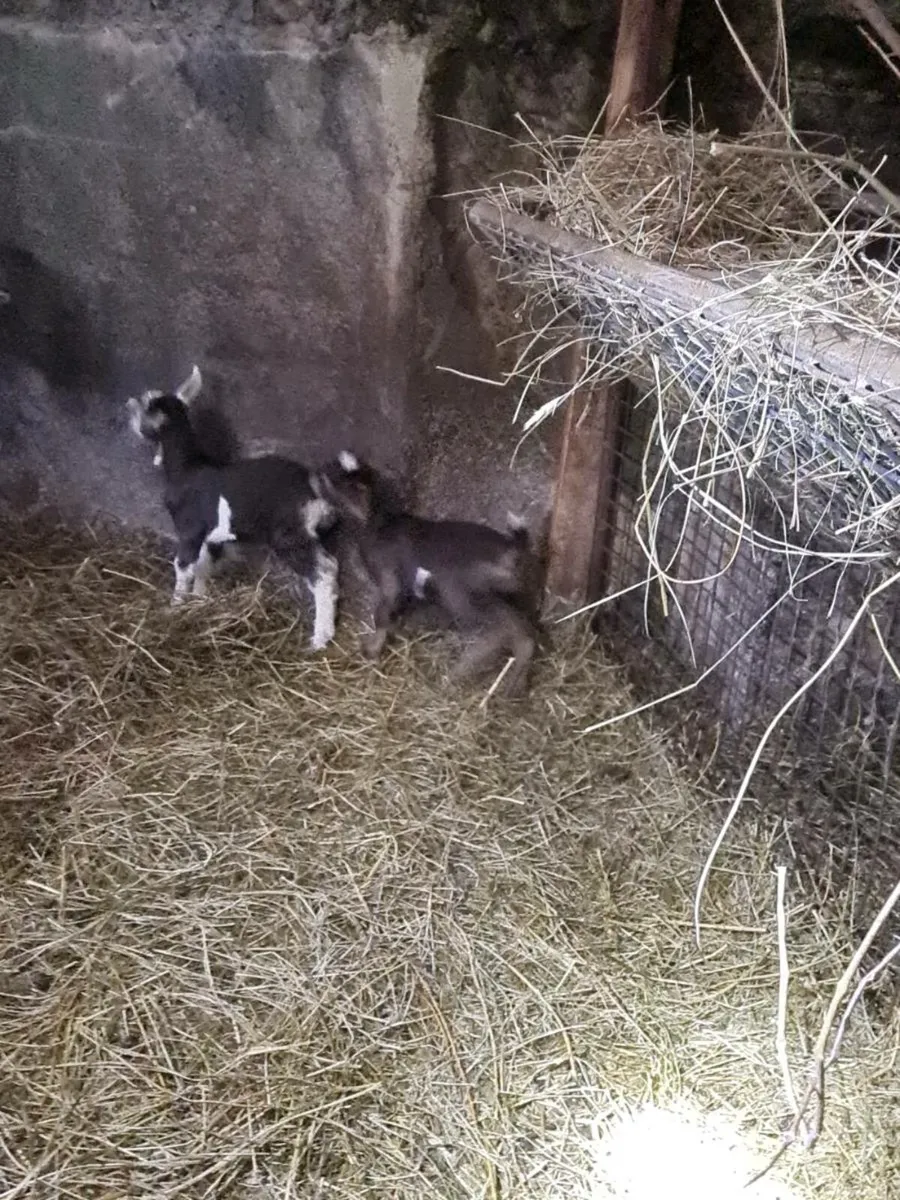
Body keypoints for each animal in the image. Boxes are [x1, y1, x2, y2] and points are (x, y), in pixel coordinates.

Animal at [126, 367, 340, 651]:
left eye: (146, 408)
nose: (129, 410)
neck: (186, 469)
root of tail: (315, 487)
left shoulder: (189, 530)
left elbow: (183, 567)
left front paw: (175, 607)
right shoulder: (210, 536)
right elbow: (203, 566)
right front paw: (200, 601)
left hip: (290, 534)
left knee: (323, 573)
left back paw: (319, 639)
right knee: (332, 566)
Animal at [317, 451, 539, 695]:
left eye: (342, 480)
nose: (318, 473)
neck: (378, 525)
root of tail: (512, 548)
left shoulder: (390, 579)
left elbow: (382, 613)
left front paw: (372, 651)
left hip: (461, 595)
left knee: (500, 630)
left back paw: (459, 671)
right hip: (505, 597)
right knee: (521, 631)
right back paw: (514, 686)